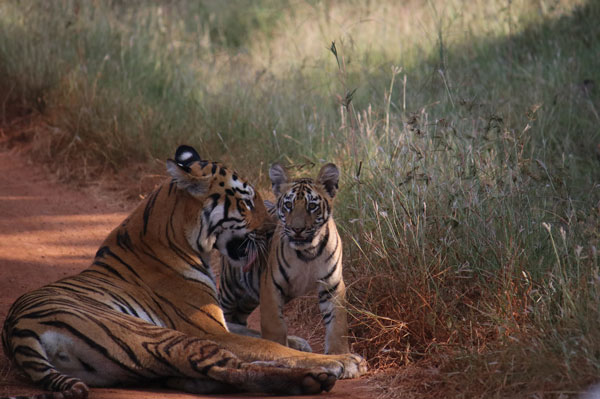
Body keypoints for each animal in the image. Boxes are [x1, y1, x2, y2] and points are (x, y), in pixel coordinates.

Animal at [219, 162, 352, 356]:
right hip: (231, 287)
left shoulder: (332, 285)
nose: (297, 229)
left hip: (248, 296)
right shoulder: (270, 284)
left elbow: (338, 324)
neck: (308, 252)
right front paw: (278, 350)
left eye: (312, 206)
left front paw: (338, 353)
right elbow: (274, 325)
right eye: (288, 205)